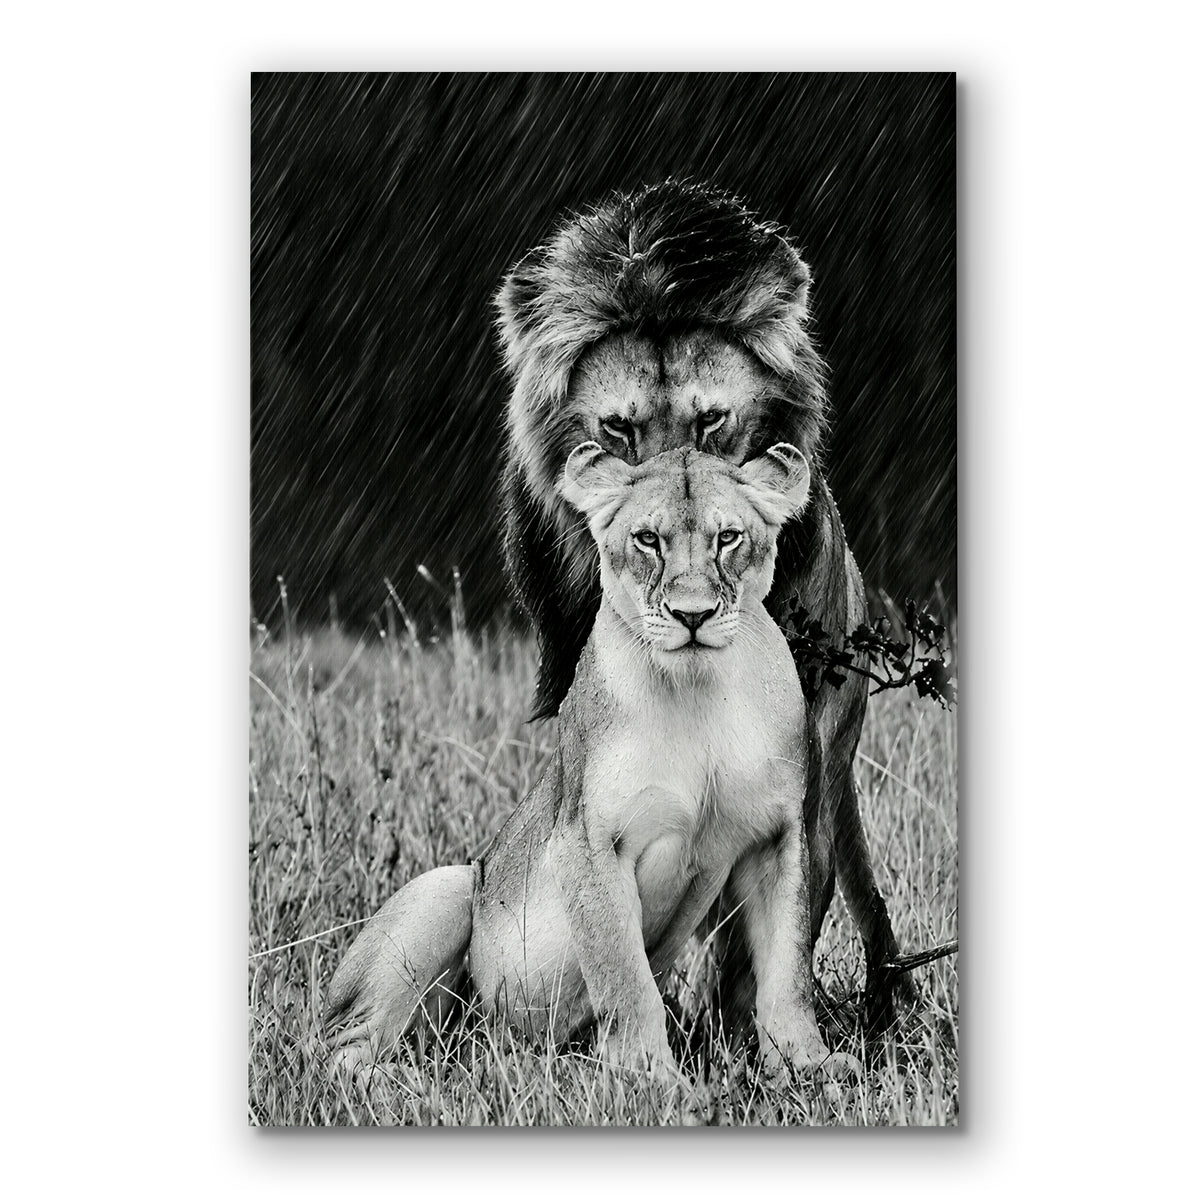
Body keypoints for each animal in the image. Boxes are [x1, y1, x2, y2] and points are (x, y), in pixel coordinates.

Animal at [326, 442, 857, 1082]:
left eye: (728, 537)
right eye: (648, 539)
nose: (693, 615)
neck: (699, 690)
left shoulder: (777, 839)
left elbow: (787, 970)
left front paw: (813, 1069)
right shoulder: (589, 840)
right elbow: (623, 977)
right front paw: (652, 1079)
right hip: (449, 888)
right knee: (344, 1047)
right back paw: (415, 1079)